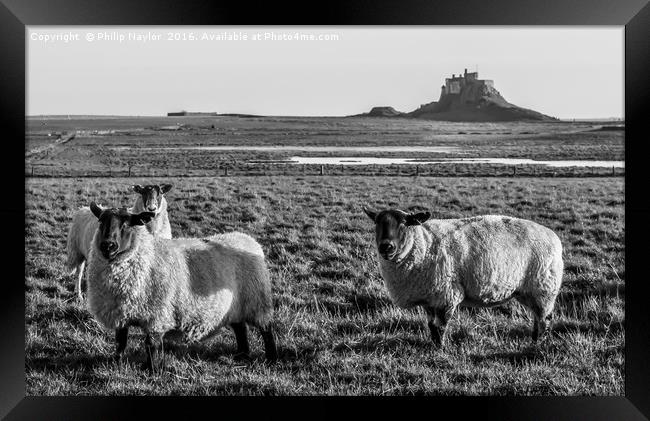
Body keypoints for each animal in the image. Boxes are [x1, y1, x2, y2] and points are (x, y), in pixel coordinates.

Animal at [84, 202, 276, 370]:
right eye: (101, 221)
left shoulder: (157, 315)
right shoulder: (121, 313)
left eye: (126, 223)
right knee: (240, 328)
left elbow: (150, 345)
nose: (108, 246)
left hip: (257, 300)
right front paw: (116, 362)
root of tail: (248, 239)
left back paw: (270, 358)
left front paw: (151, 370)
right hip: (235, 305)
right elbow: (120, 341)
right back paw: (242, 355)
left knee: (266, 329)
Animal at [362, 208, 560, 348]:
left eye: (404, 223)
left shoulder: (446, 295)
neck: (424, 244)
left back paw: (538, 344)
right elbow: (431, 325)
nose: (386, 247)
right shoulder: (429, 298)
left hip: (543, 289)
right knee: (538, 318)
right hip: (528, 292)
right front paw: (433, 345)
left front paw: (441, 349)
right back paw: (534, 341)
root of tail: (552, 235)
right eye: (377, 223)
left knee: (544, 320)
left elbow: (440, 326)